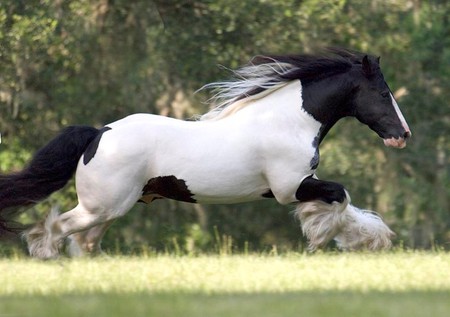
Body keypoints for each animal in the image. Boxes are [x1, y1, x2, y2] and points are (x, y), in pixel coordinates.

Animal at [0, 48, 410, 258]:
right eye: (382, 92)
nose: (402, 135)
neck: (287, 120)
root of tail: (100, 133)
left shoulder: (300, 183)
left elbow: (344, 202)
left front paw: (369, 239)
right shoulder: (290, 187)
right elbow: (341, 196)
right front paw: (323, 237)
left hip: (109, 209)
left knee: (82, 240)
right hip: (100, 207)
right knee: (53, 229)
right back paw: (49, 260)